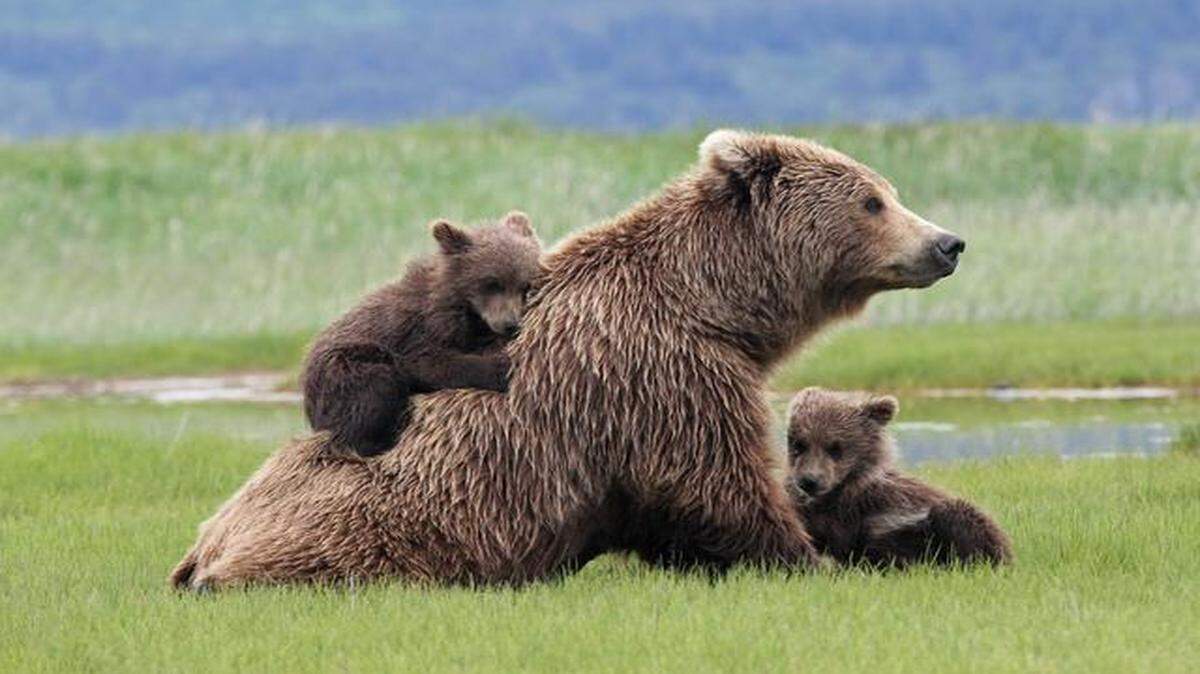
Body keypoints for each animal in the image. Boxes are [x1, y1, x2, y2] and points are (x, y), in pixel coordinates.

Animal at [300, 211, 543, 456]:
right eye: (492, 283)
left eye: (524, 286)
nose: (510, 323)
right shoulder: (420, 332)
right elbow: (434, 364)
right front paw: (502, 367)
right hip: (346, 367)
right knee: (376, 389)